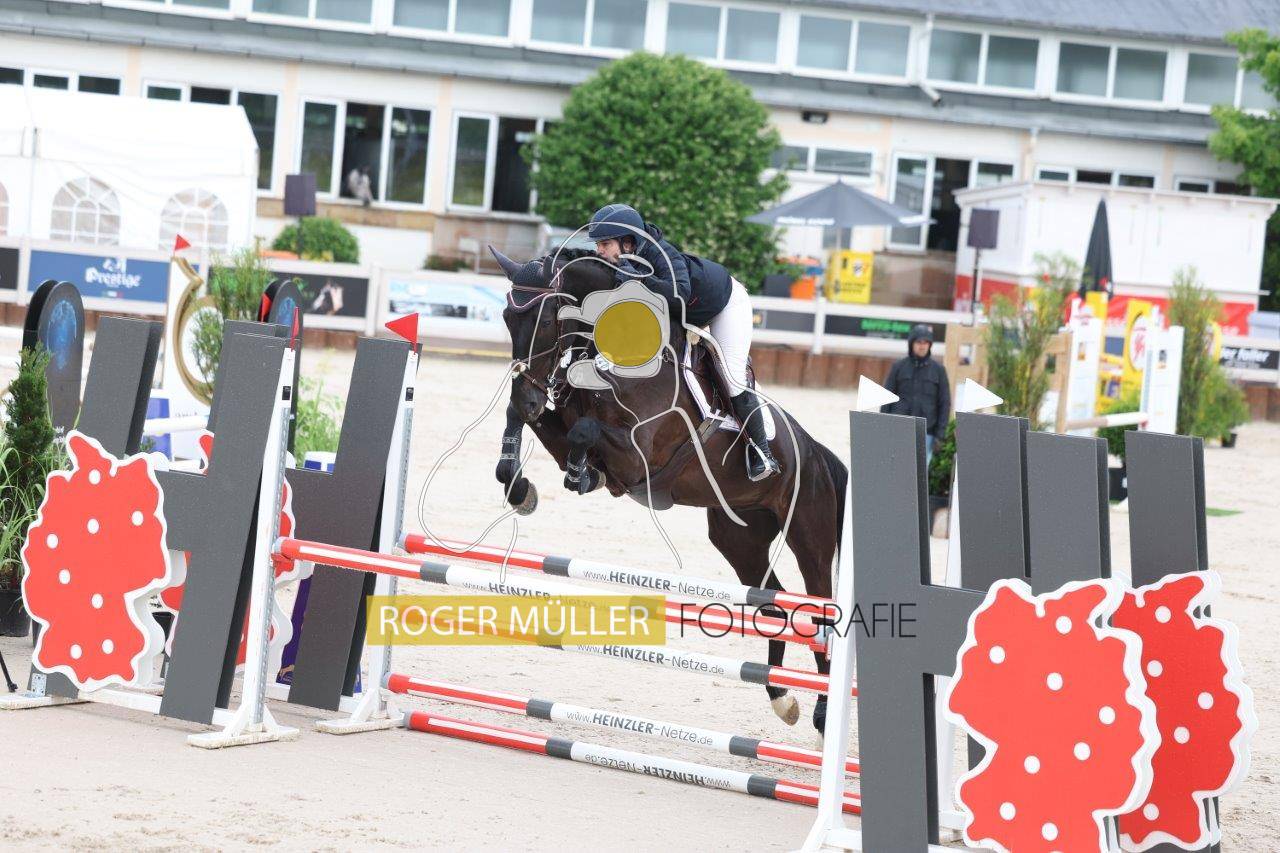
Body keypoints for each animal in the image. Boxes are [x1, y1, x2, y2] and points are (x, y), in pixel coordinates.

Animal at [489, 246, 847, 737]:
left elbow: (584, 431)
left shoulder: (637, 453)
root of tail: (816, 452)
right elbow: (537, 425)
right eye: (508, 317)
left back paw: (823, 711)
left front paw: (578, 474)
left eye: (545, 320)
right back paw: (782, 698)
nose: (528, 393)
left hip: (809, 535)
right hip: (739, 540)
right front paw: (521, 486)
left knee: (819, 611)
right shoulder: (563, 426)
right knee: (773, 608)